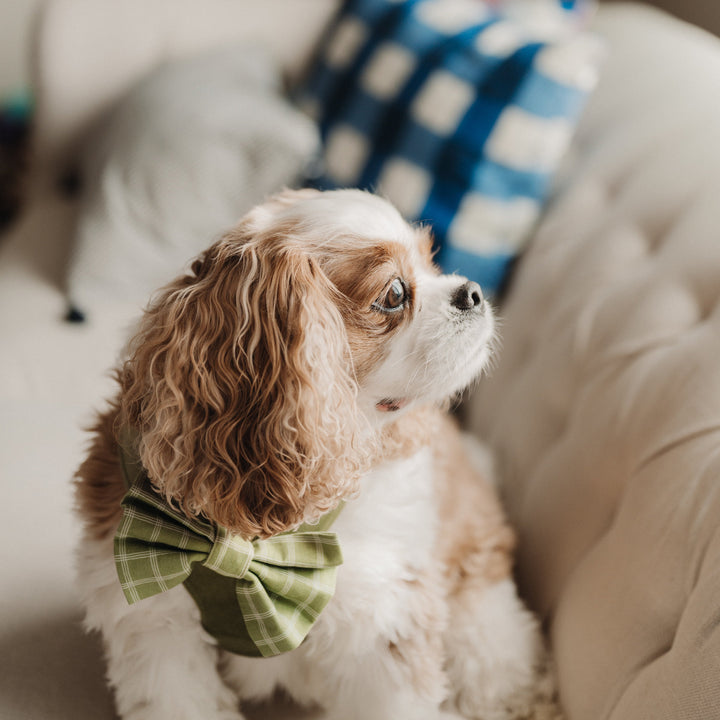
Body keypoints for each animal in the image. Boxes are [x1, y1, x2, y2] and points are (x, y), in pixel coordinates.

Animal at [74, 188, 556, 716]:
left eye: (431, 261)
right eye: (394, 295)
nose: (471, 291)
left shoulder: (386, 628)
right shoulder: (156, 629)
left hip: (480, 610)